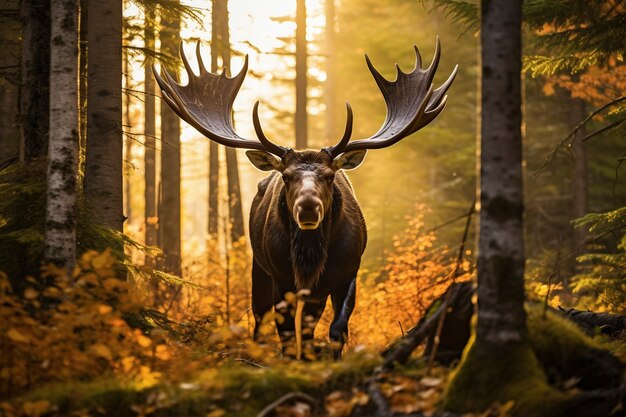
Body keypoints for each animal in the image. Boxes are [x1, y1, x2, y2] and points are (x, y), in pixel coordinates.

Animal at [151, 38, 454, 358]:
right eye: (286, 176)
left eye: (330, 176)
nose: (308, 208)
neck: (309, 259)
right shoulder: (279, 275)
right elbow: (284, 331)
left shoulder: (348, 271)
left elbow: (335, 329)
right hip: (259, 266)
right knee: (259, 316)